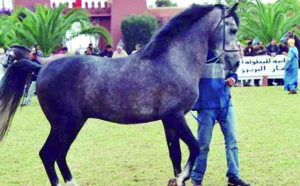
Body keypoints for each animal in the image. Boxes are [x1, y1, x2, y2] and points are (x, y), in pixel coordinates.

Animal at [0, 3, 240, 186]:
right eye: (233, 30)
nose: (236, 63)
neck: (173, 61)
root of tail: (42, 67)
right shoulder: (176, 116)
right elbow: (195, 146)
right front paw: (182, 177)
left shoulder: (168, 120)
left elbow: (176, 155)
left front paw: (176, 179)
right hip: (66, 124)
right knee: (48, 155)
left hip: (71, 124)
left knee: (58, 155)